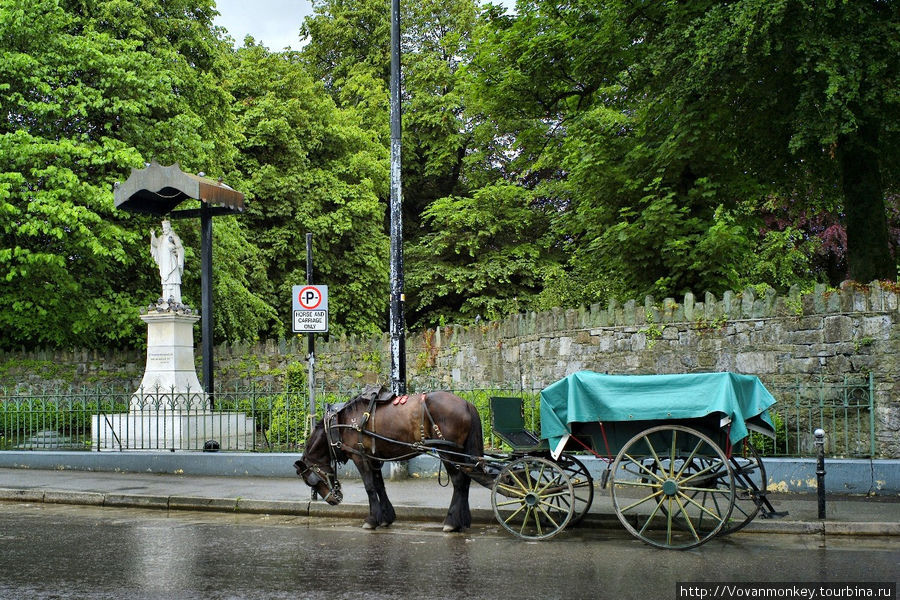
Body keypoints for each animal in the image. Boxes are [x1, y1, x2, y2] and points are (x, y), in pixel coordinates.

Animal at [294, 384, 486, 528]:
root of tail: (466, 403)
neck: (340, 423)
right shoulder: (374, 458)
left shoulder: (359, 457)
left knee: (459, 481)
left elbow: (370, 486)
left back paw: (452, 521)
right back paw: (464, 520)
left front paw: (372, 519)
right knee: (466, 480)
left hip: (447, 450)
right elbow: (380, 485)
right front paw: (386, 517)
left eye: (311, 481)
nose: (334, 500)